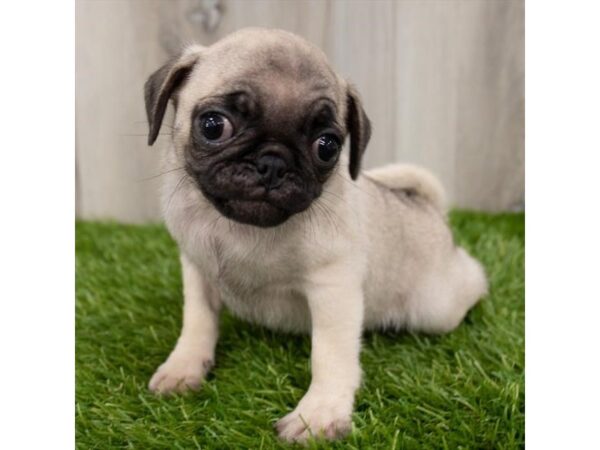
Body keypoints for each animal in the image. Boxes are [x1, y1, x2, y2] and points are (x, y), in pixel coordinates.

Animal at [144, 26, 488, 442]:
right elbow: (198, 320)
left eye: (327, 146)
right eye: (213, 125)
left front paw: (319, 415)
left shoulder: (333, 288)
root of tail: (428, 208)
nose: (272, 163)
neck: (240, 229)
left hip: (437, 307)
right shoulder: (198, 269)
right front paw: (184, 367)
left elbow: (330, 354)